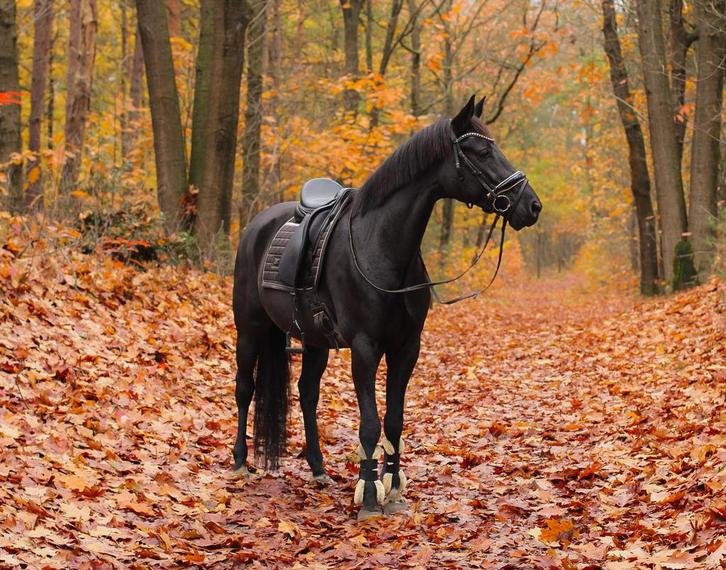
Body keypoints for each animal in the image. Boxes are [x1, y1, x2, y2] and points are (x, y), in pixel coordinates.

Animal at [232, 95, 542, 520]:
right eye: (481, 151)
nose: (532, 205)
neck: (380, 246)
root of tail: (256, 226)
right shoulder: (365, 349)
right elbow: (369, 424)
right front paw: (368, 495)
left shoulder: (406, 348)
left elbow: (394, 421)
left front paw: (393, 488)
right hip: (249, 330)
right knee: (244, 389)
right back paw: (240, 462)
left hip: (313, 342)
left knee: (307, 394)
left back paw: (318, 468)